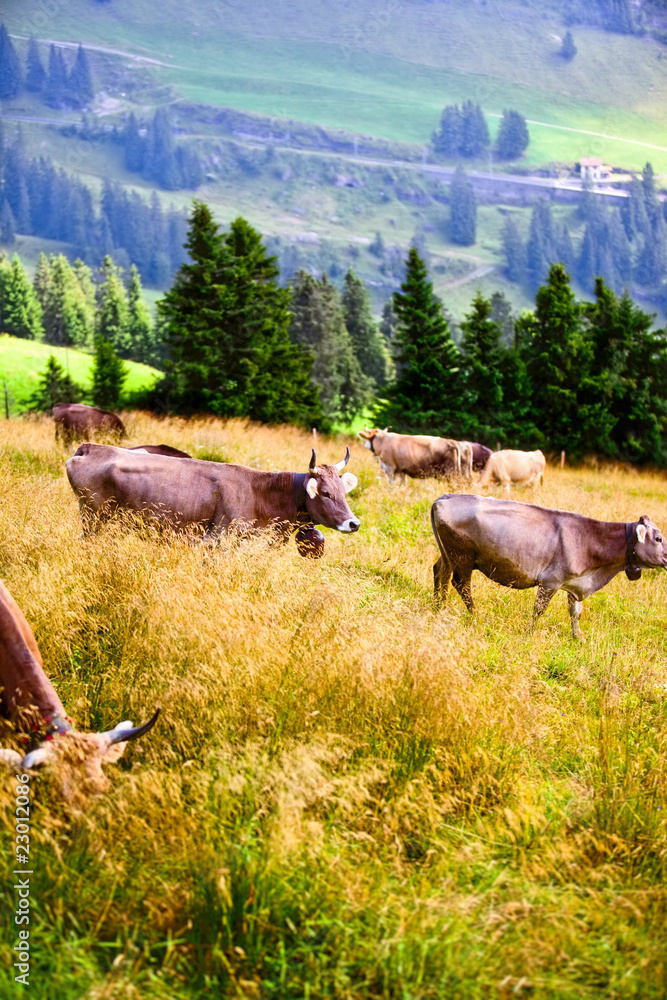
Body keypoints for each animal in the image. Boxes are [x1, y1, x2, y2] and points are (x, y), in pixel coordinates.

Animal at [65, 446, 360, 552]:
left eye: (344, 492)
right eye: (325, 493)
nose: (354, 523)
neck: (259, 493)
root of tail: (90, 447)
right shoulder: (217, 539)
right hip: (94, 519)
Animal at [430, 494, 664, 640]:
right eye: (659, 538)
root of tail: (445, 498)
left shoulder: (575, 583)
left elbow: (575, 613)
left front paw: (578, 637)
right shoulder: (551, 581)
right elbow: (539, 610)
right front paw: (529, 633)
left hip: (448, 555)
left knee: (439, 572)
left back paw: (438, 607)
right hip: (462, 556)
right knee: (460, 584)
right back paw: (475, 615)